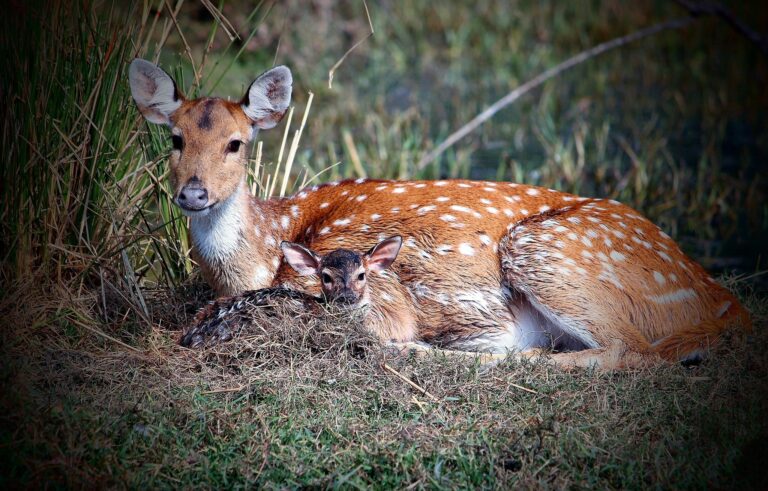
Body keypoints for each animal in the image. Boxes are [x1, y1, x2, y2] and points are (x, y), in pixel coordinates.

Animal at [129, 58, 751, 369]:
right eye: (175, 139)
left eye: (236, 143)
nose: (193, 193)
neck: (269, 245)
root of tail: (719, 299)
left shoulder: (373, 287)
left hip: (547, 252)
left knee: (626, 352)